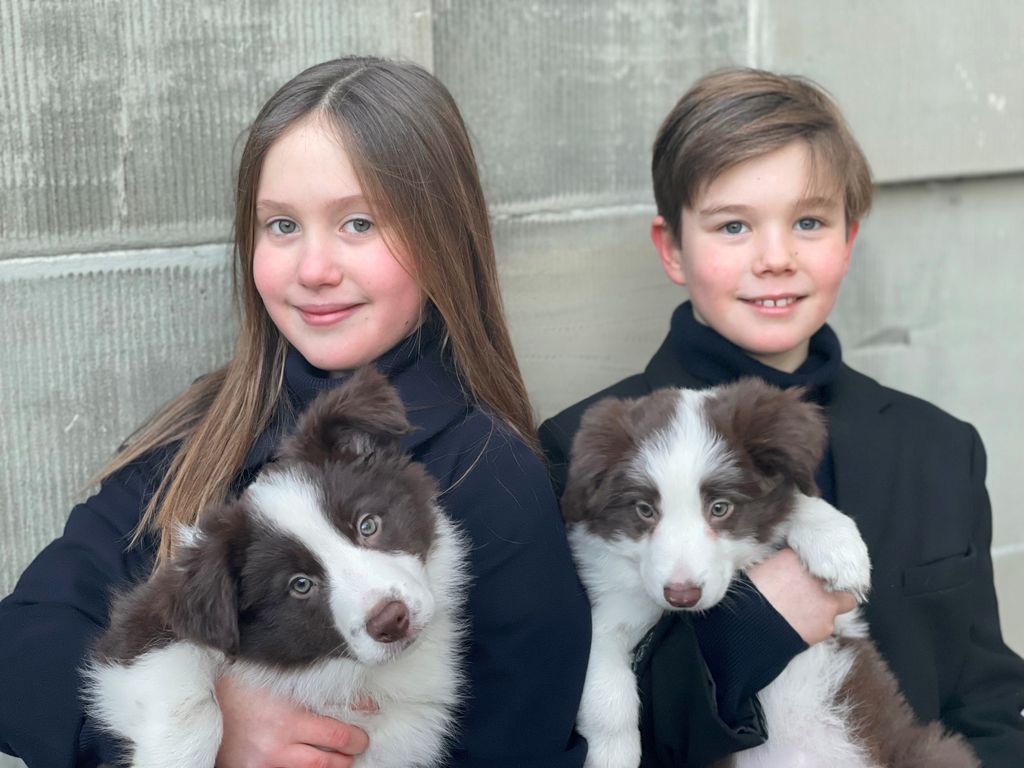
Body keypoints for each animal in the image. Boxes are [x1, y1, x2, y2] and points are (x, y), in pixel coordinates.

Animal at [86, 366, 468, 768]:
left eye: (368, 526)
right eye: (300, 585)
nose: (391, 621)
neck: (339, 671)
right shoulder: (143, 623)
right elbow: (190, 701)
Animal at [565, 378, 978, 768]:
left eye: (720, 508)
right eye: (644, 510)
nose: (682, 595)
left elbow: (797, 500)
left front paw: (837, 546)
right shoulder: (612, 606)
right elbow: (604, 687)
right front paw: (612, 755)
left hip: (924, 751)